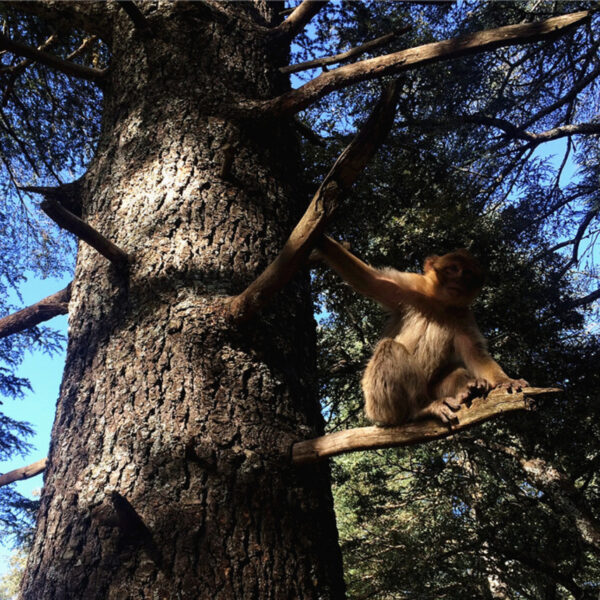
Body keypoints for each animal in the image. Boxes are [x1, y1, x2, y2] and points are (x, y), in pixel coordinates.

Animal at [316, 234, 528, 426]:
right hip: (376, 404)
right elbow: (370, 280)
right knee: (390, 348)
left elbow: (475, 353)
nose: (458, 280)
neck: (439, 304)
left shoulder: (464, 316)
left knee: (454, 370)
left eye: (467, 274)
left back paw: (470, 388)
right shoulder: (411, 287)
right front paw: (322, 240)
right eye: (453, 269)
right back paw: (421, 409)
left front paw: (505, 380)